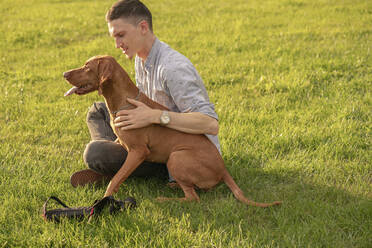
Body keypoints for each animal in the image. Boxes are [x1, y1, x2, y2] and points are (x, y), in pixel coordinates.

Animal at [62, 55, 282, 207]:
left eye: (87, 67)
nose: (64, 74)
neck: (125, 102)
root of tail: (223, 169)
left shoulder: (138, 152)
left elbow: (116, 178)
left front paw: (105, 199)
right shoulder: (121, 142)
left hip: (176, 157)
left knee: (193, 198)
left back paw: (164, 198)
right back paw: (175, 186)